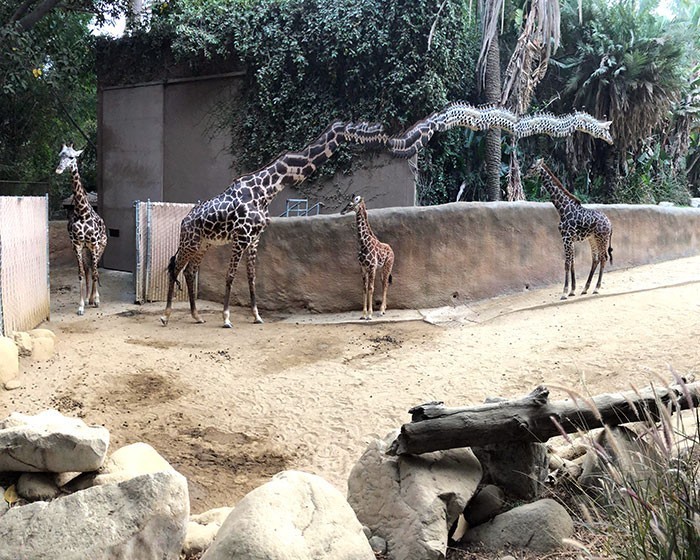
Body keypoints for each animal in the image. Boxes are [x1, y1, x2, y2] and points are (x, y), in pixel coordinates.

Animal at [54, 144, 107, 316]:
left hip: (99, 247)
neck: (82, 213)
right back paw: (88, 298)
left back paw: (93, 298)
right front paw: (81, 305)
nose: (59, 169)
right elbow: (81, 273)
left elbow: (96, 272)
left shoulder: (94, 244)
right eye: (60, 155)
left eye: (72, 157)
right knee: (88, 268)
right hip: (85, 250)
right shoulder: (77, 245)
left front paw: (96, 300)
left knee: (95, 269)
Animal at [161, 119, 386, 328]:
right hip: (190, 241)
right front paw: (226, 318)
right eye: (363, 126)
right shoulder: (241, 237)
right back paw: (166, 316)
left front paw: (257, 316)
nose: (382, 135)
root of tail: (184, 220)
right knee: (175, 267)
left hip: (204, 244)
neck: (265, 190)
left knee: (189, 271)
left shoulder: (254, 239)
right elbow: (230, 275)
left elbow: (251, 277)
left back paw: (197, 316)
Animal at [532, 159, 612, 298]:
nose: (525, 174)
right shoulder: (570, 239)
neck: (562, 209)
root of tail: (610, 223)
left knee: (603, 258)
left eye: (532, 168)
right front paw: (572, 290)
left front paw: (564, 292)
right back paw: (585, 288)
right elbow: (573, 262)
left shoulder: (567, 237)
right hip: (592, 239)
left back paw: (596, 288)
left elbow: (567, 263)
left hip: (602, 238)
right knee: (596, 259)